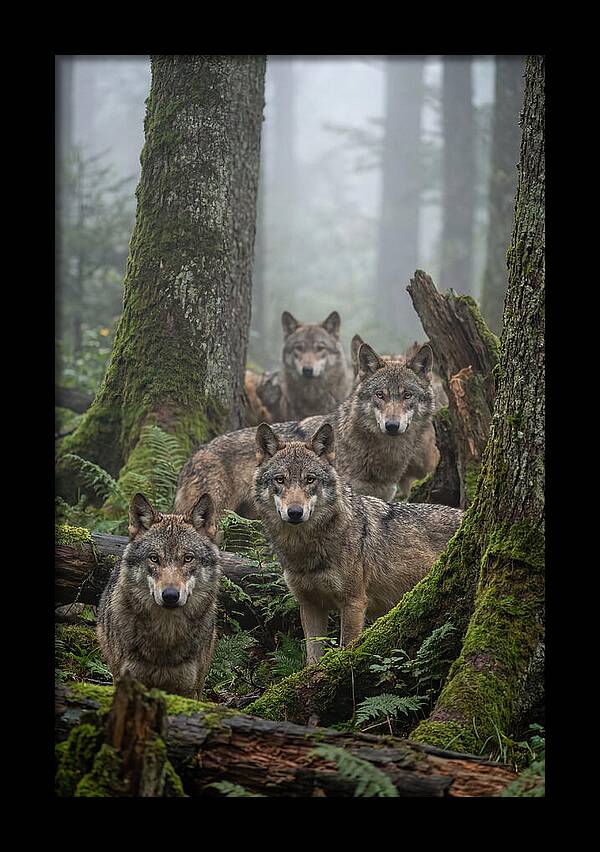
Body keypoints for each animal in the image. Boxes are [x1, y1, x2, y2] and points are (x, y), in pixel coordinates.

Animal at [253, 422, 463, 663]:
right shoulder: (310, 605)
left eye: (310, 479)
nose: (295, 512)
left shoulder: (353, 602)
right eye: (280, 479)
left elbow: (346, 648)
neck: (305, 549)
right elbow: (312, 658)